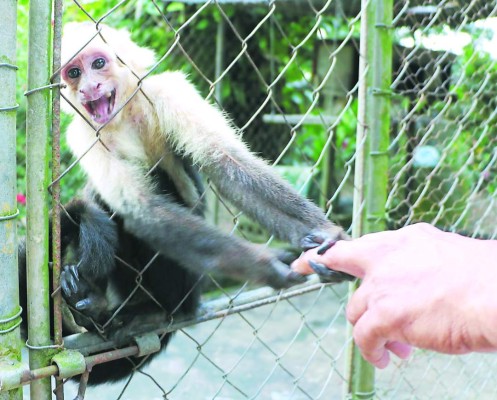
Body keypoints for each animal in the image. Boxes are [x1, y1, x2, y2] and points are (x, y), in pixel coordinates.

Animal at [24, 21, 352, 384]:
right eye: (74, 73)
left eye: (98, 64)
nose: (88, 88)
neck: (124, 115)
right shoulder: (84, 134)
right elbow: (140, 207)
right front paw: (264, 265)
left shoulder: (167, 91)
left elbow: (227, 165)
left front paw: (322, 233)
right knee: (109, 208)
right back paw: (99, 306)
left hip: (187, 285)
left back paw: (157, 311)